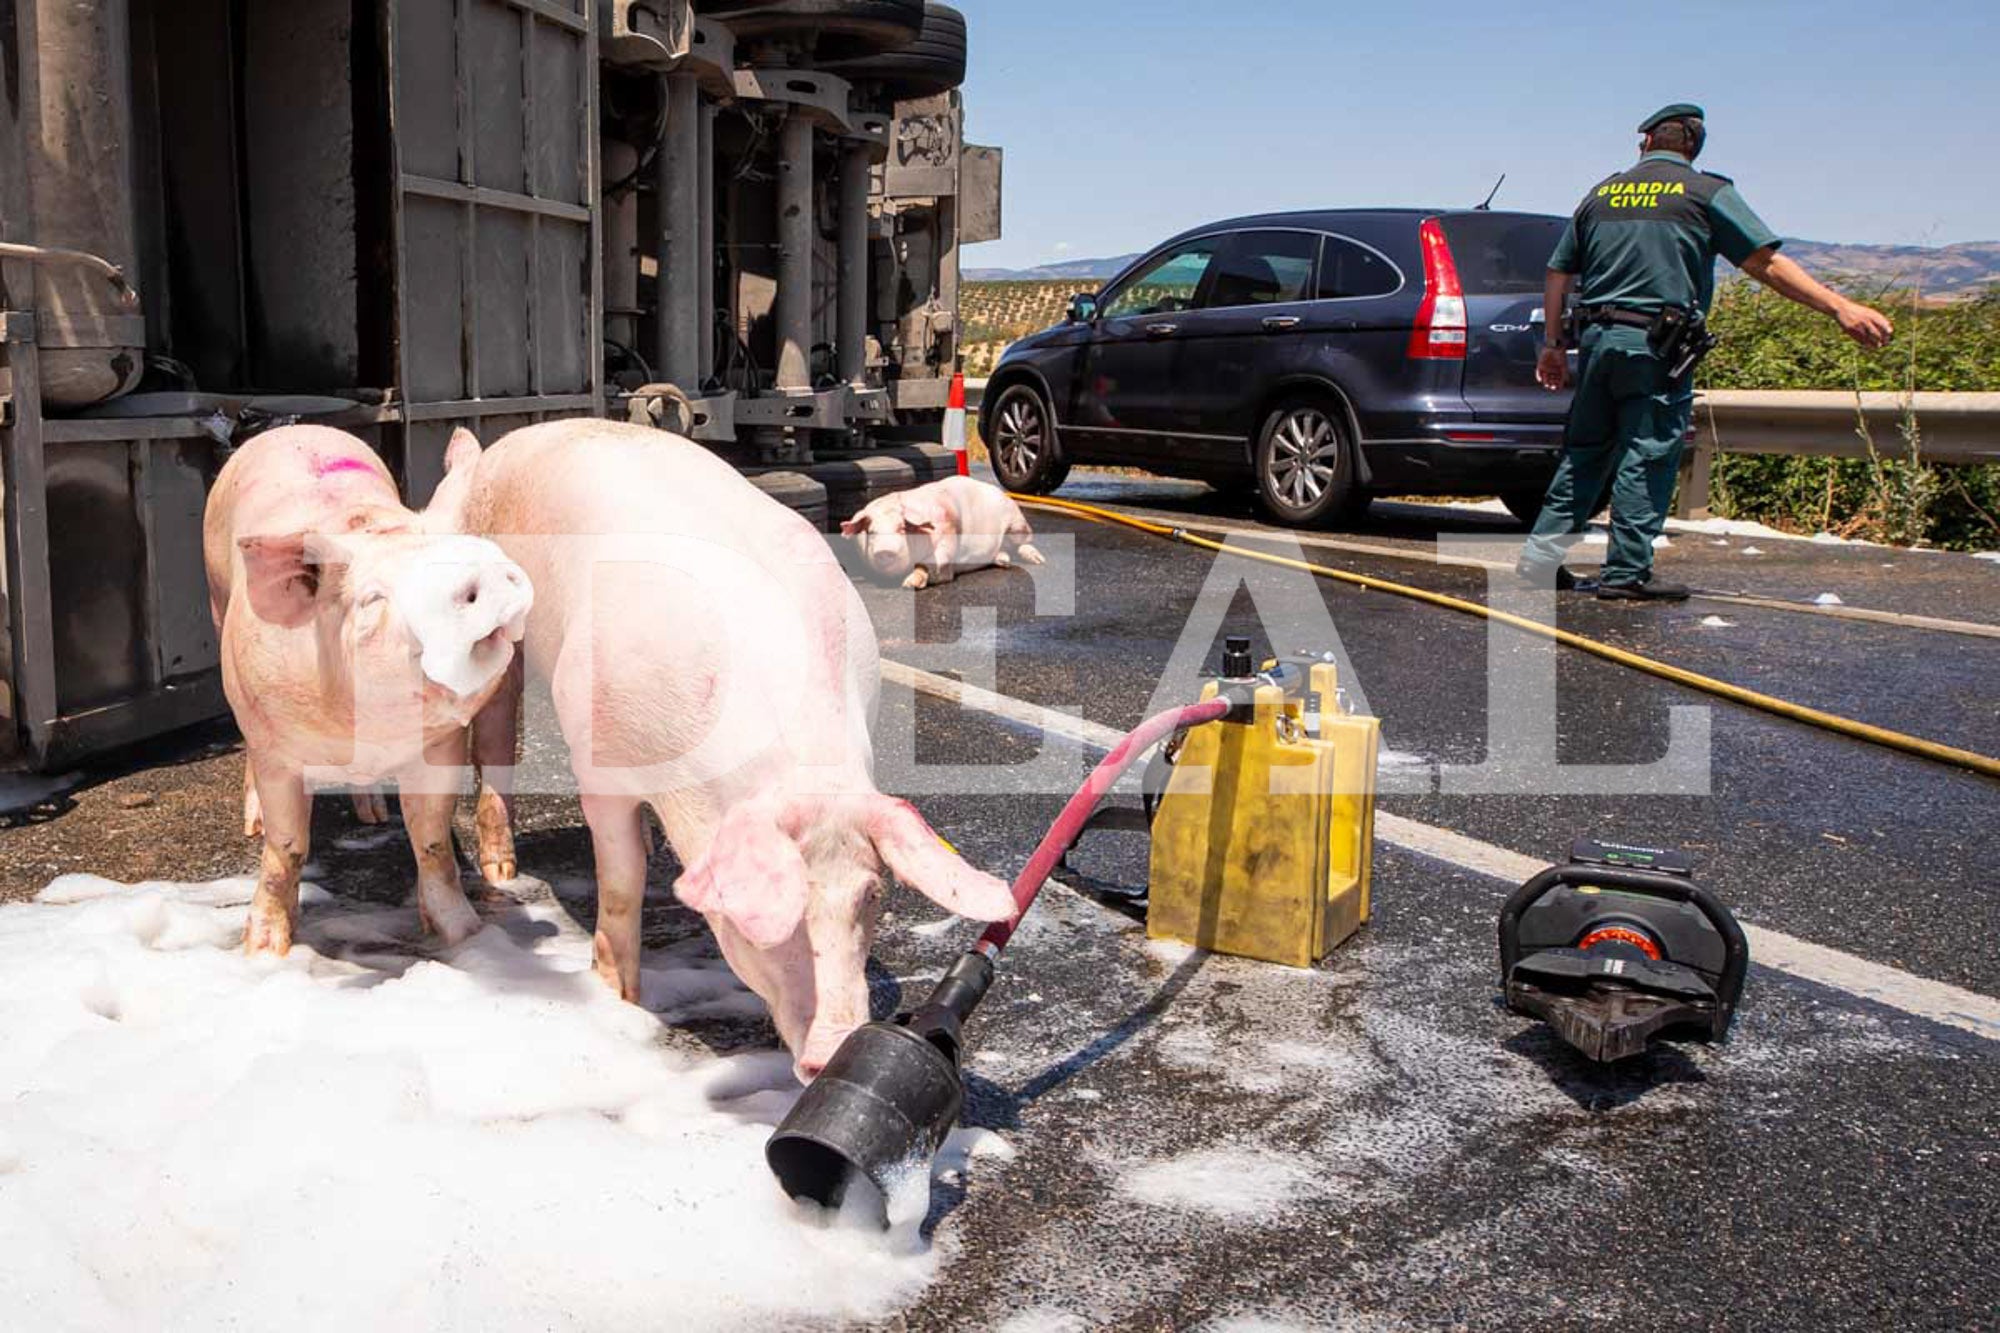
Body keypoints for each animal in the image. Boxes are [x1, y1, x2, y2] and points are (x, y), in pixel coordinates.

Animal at [203, 420, 532, 948]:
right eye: (373, 598)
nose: (470, 580)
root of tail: (296, 428)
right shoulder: (277, 745)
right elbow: (287, 846)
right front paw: (264, 948)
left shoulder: (440, 746)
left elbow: (432, 839)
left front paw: (466, 935)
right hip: (217, 605)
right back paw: (252, 823)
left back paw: (373, 814)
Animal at [438, 420, 1024, 1072]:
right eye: (768, 921)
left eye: (870, 896)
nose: (835, 1047)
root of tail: (504, 444)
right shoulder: (598, 760)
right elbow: (621, 879)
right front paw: (618, 997)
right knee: (496, 731)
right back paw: (502, 868)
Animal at [836, 472, 1048, 588]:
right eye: (871, 531)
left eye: (902, 528)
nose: (884, 550)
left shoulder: (948, 537)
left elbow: (932, 565)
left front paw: (908, 584)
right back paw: (1004, 561)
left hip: (1018, 523)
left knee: (1025, 544)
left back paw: (1039, 561)